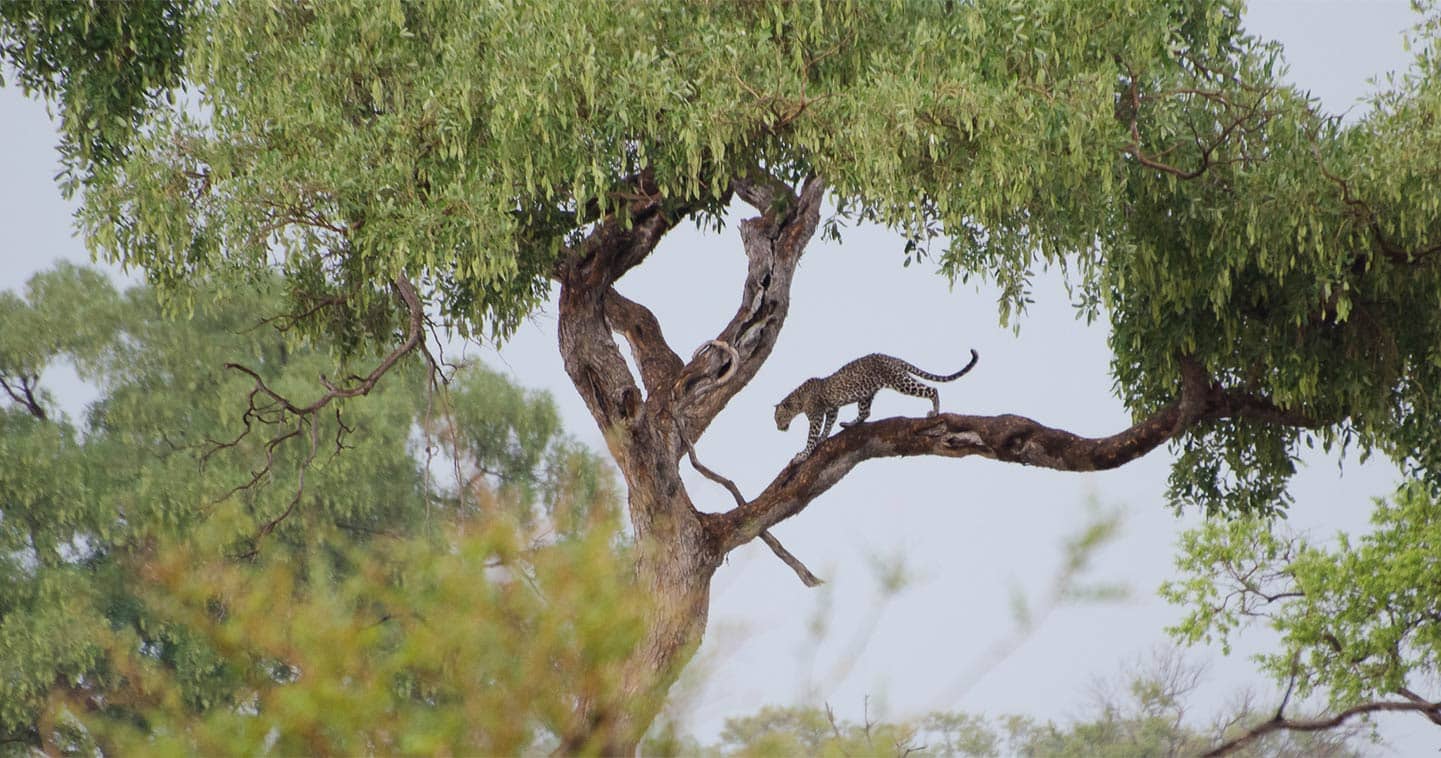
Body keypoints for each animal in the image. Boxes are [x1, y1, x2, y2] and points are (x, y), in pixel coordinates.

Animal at [778, 350, 979, 464]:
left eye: (778, 418)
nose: (779, 428)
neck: (798, 400)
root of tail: (891, 358)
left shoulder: (816, 415)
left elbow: (811, 438)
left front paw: (803, 455)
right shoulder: (832, 409)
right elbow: (828, 425)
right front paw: (823, 438)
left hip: (899, 381)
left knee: (931, 389)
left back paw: (935, 411)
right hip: (866, 393)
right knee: (865, 412)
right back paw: (849, 424)